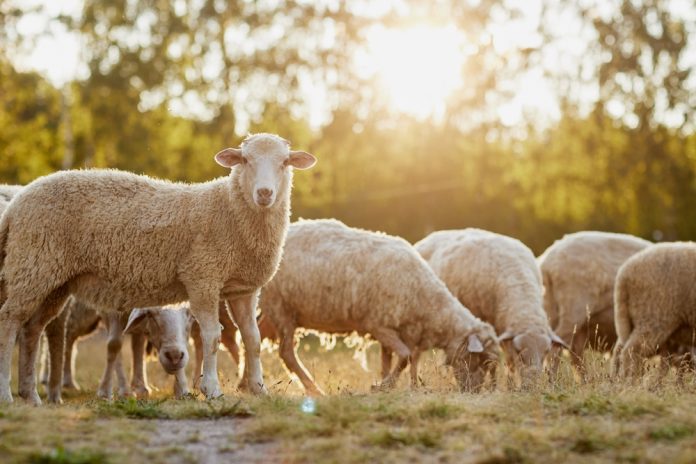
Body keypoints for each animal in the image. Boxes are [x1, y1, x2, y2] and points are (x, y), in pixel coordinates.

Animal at [0, 133, 316, 404]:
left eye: (285, 162)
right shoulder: (202, 277)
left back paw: (31, 395)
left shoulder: (244, 289)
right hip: (33, 264)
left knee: (32, 330)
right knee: (9, 321)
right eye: (245, 160)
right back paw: (7, 395)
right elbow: (212, 337)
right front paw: (212, 389)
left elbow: (253, 339)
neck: (228, 210)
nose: (264, 193)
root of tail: (15, 205)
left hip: (52, 280)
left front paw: (259, 389)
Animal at [259, 219, 501, 396]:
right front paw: (384, 385)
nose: (473, 391)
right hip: (281, 307)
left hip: (273, 312)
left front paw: (387, 384)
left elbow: (390, 360)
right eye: (481, 361)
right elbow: (405, 357)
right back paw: (314, 389)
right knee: (286, 353)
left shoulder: (391, 327)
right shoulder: (378, 324)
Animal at [537, 231, 651, 371]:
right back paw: (552, 376)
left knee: (572, 353)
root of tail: (547, 263)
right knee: (558, 345)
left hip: (551, 309)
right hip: (573, 308)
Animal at [612, 242, 696, 378]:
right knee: (631, 351)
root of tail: (624, 274)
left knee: (619, 350)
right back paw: (631, 381)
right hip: (653, 316)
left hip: (630, 318)